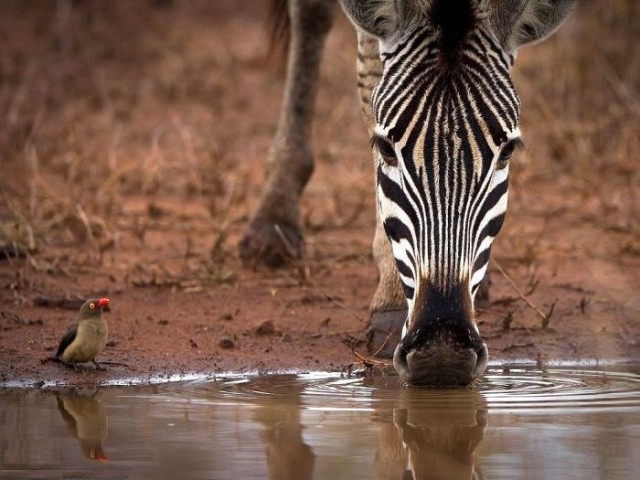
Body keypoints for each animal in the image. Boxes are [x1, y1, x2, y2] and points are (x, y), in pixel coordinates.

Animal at [239, 0, 576, 384]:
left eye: (507, 151)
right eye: (385, 147)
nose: (443, 351)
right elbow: (370, 74)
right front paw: (392, 300)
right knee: (312, 15)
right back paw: (274, 220)